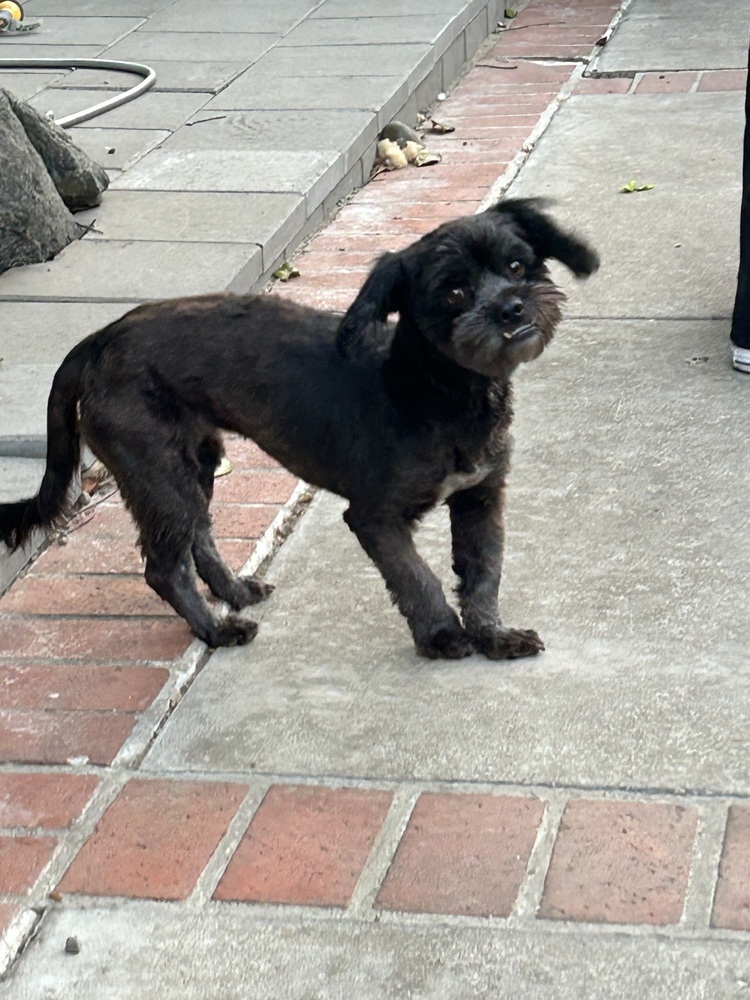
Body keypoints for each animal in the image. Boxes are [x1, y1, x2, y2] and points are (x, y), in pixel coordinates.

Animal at [0, 199, 600, 660]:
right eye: (453, 293)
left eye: (518, 266)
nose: (512, 308)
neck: (436, 391)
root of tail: (99, 339)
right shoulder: (375, 516)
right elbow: (417, 578)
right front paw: (441, 636)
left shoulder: (480, 496)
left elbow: (484, 573)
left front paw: (493, 636)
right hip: (156, 470)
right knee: (164, 567)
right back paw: (216, 629)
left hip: (194, 461)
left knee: (199, 533)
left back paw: (234, 592)